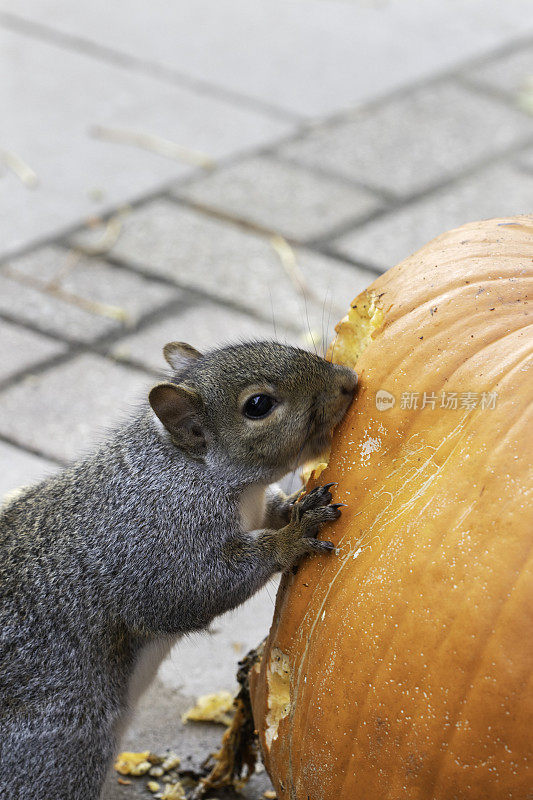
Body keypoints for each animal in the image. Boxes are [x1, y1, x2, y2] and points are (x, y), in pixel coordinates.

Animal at [1, 340, 358, 796]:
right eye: (258, 405)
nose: (348, 381)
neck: (191, 468)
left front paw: (297, 507)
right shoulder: (158, 544)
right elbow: (194, 589)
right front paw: (293, 536)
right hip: (57, 751)